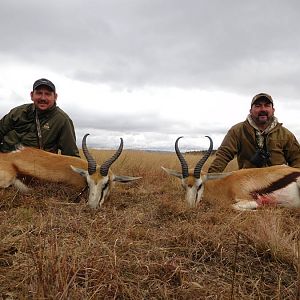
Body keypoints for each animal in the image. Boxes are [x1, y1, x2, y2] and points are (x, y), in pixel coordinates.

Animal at [163, 137, 300, 210]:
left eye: (200, 185)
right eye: (183, 186)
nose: (190, 206)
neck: (226, 185)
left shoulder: (250, 200)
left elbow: (232, 206)